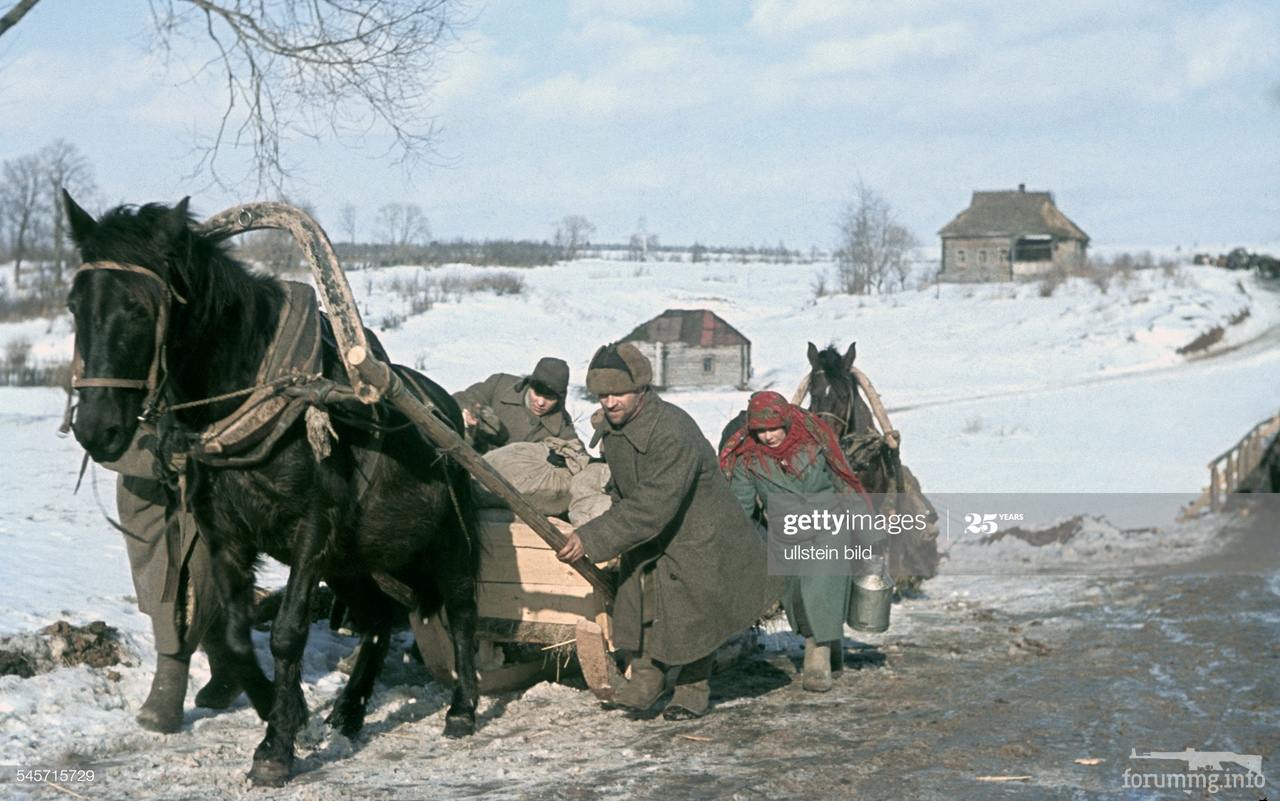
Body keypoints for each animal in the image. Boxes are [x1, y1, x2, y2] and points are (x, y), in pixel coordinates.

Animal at [62, 191, 481, 777]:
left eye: (140, 309)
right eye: (75, 306)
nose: (96, 427)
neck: (255, 397)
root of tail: (447, 411)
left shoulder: (312, 530)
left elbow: (286, 634)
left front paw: (276, 748)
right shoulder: (225, 534)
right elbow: (237, 638)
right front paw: (285, 715)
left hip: (448, 542)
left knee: (462, 611)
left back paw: (462, 707)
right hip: (357, 560)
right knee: (376, 620)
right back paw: (349, 711)